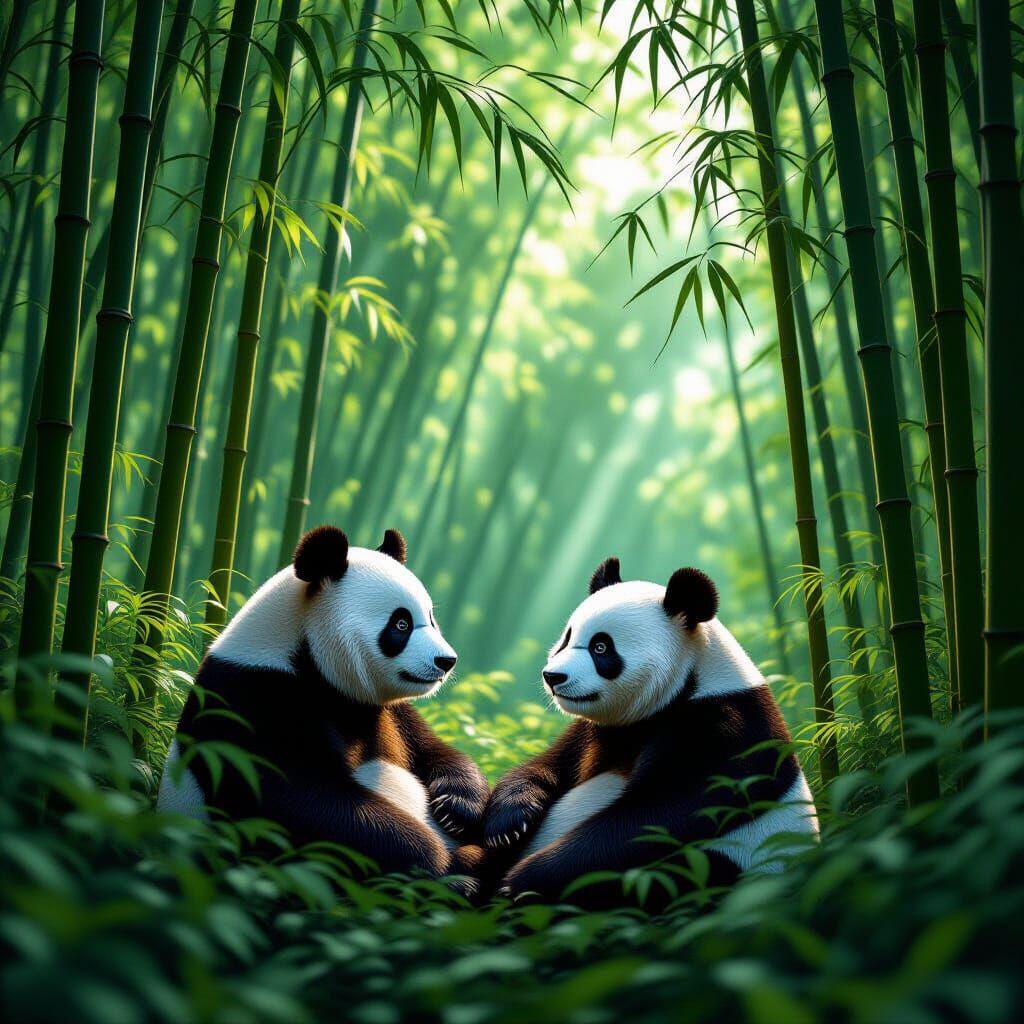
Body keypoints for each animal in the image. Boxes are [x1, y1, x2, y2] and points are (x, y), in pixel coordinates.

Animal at [158, 524, 489, 880]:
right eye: (401, 624)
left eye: (430, 618)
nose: (447, 661)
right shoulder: (248, 699)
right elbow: (304, 801)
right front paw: (432, 859)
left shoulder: (386, 709)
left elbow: (432, 749)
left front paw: (457, 806)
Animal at [482, 556, 818, 906]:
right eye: (566, 638)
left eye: (601, 647)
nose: (553, 676)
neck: (692, 683)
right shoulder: (599, 730)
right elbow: (551, 764)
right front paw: (507, 824)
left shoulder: (725, 731)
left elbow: (653, 819)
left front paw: (519, 883)